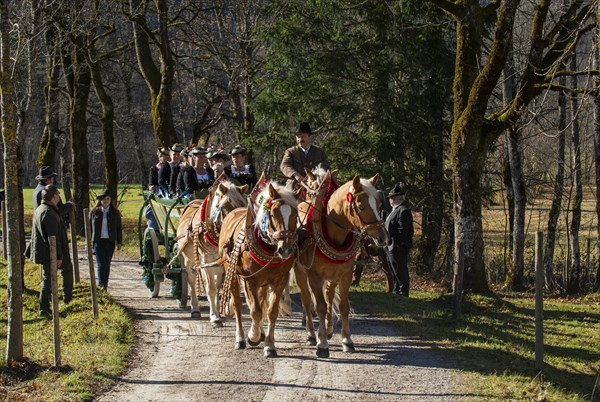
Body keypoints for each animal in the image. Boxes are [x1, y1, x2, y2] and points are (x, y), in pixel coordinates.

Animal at [176, 181, 248, 326]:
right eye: (225, 207)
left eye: (243, 205)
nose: (235, 226)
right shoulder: (207, 259)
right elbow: (211, 288)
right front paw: (214, 316)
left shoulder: (223, 260)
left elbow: (221, 285)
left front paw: (225, 310)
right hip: (189, 260)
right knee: (192, 280)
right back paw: (195, 309)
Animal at [218, 184, 300, 356]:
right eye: (273, 213)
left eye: (295, 215)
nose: (286, 250)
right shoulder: (250, 279)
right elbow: (255, 310)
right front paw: (253, 336)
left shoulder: (279, 280)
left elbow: (270, 311)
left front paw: (269, 345)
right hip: (233, 273)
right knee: (237, 304)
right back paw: (240, 338)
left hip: (263, 283)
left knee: (261, 302)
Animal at [294, 171, 390, 356]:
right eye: (361, 206)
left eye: (379, 204)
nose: (382, 238)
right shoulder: (314, 276)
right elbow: (320, 307)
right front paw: (322, 343)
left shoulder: (345, 275)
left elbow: (343, 306)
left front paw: (346, 340)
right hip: (301, 272)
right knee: (307, 300)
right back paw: (311, 334)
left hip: (332, 275)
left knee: (329, 295)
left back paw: (330, 329)